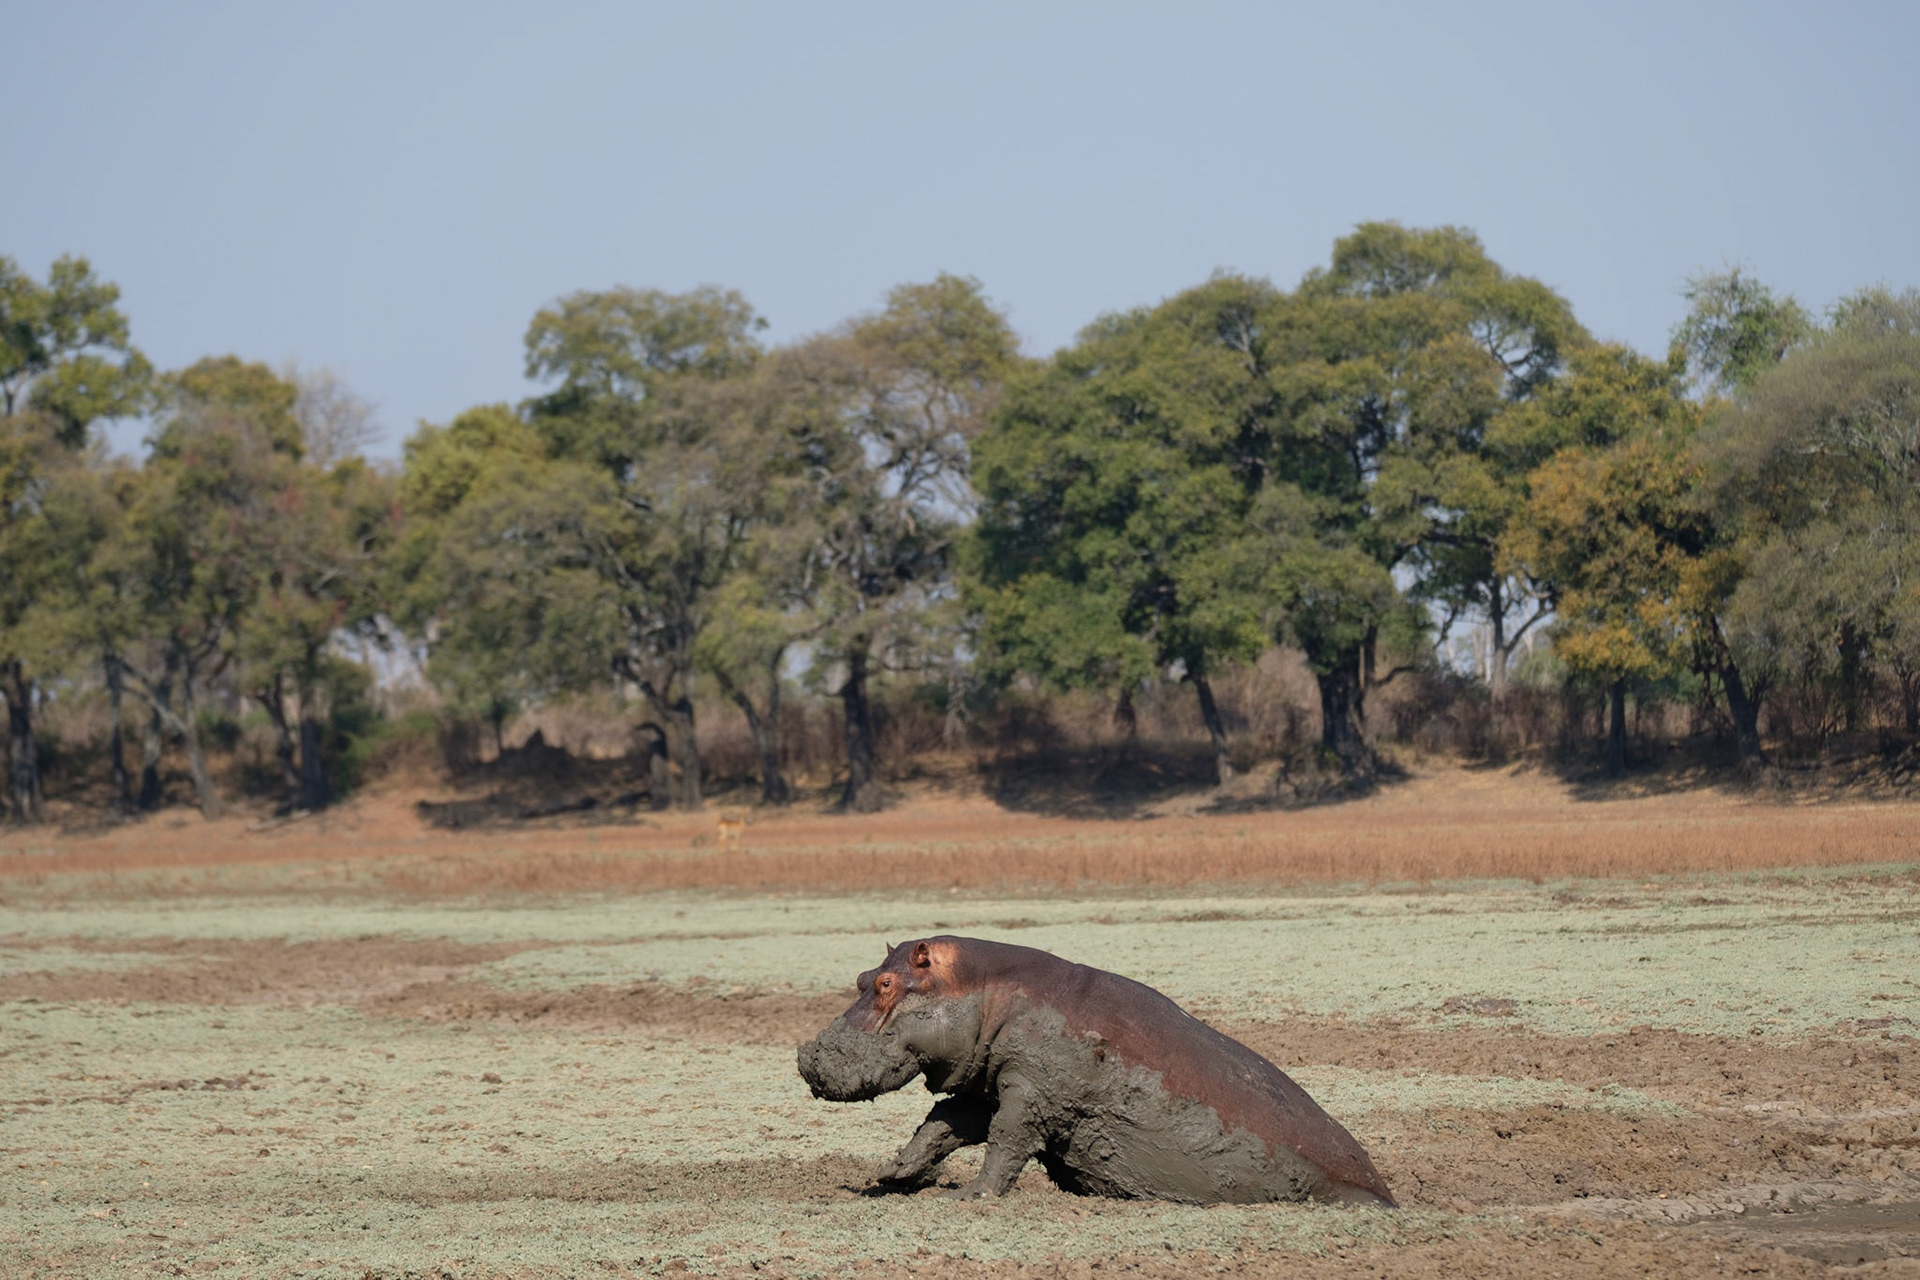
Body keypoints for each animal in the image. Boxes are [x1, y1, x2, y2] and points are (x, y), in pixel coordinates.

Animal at [796, 936, 1394, 1206]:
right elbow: (942, 1125)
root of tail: (1384, 1193)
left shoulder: (1030, 1089)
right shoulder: (985, 1082)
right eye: (861, 976)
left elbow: (1006, 1139)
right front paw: (890, 1176)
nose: (807, 1055)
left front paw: (970, 1197)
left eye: (886, 985)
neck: (983, 987)